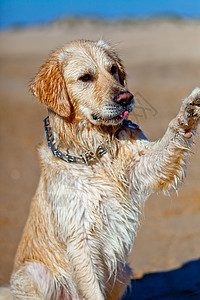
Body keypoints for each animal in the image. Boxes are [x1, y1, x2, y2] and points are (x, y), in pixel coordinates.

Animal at [3, 40, 200, 300]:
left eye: (113, 69)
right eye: (85, 77)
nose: (126, 97)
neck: (92, 151)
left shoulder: (145, 166)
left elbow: (169, 140)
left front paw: (188, 113)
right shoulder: (80, 236)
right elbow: (91, 288)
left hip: (122, 270)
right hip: (34, 274)